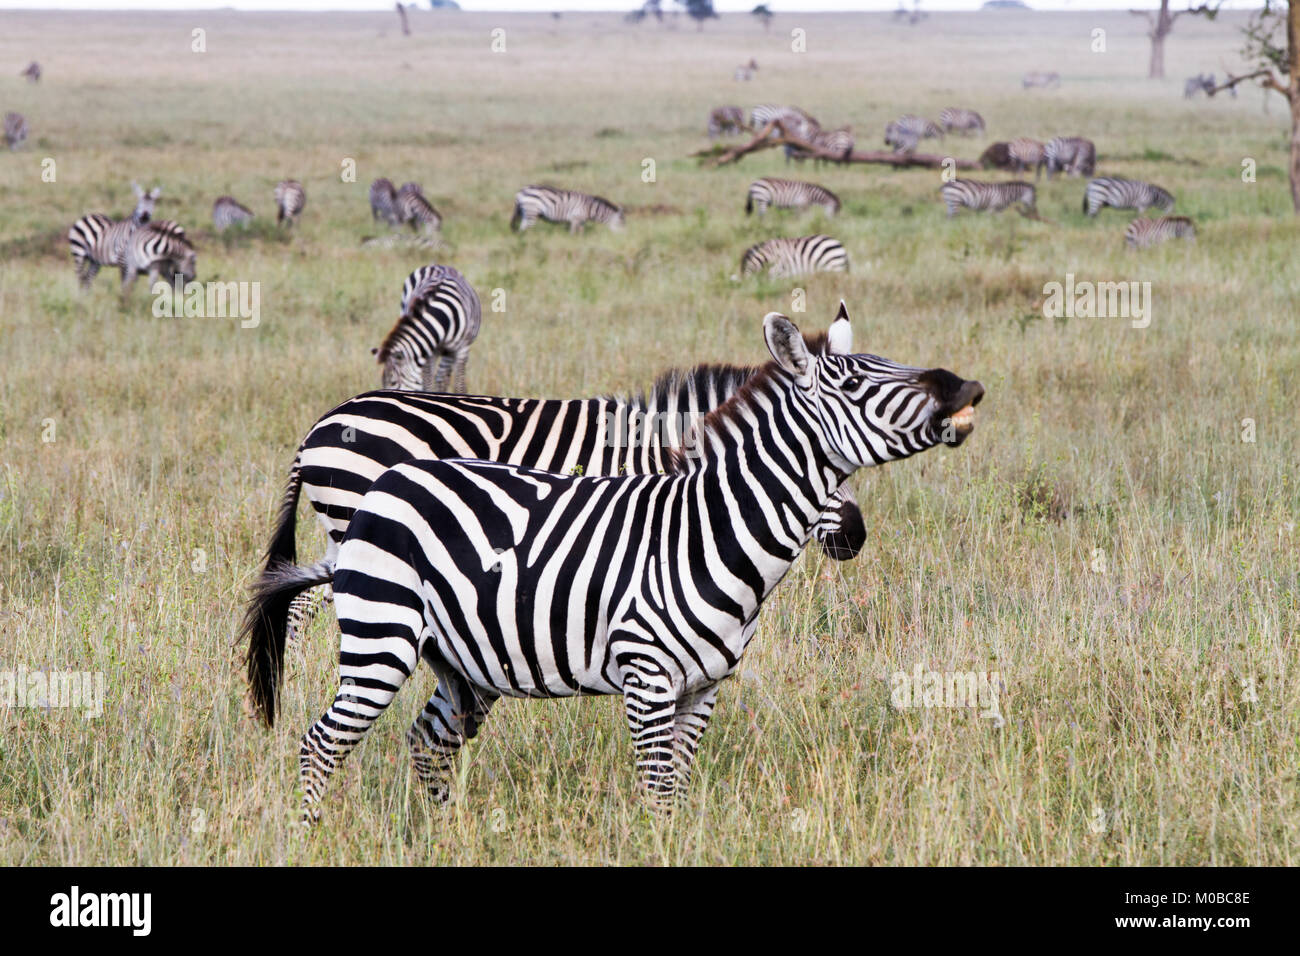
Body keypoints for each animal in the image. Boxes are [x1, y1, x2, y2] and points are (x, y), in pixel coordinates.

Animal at [373, 264, 482, 393]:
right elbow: (427, 384)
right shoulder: (428, 351)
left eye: (393, 382)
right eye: (383, 383)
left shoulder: (462, 350)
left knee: (442, 379)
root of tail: (437, 264)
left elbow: (459, 387)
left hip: (450, 352)